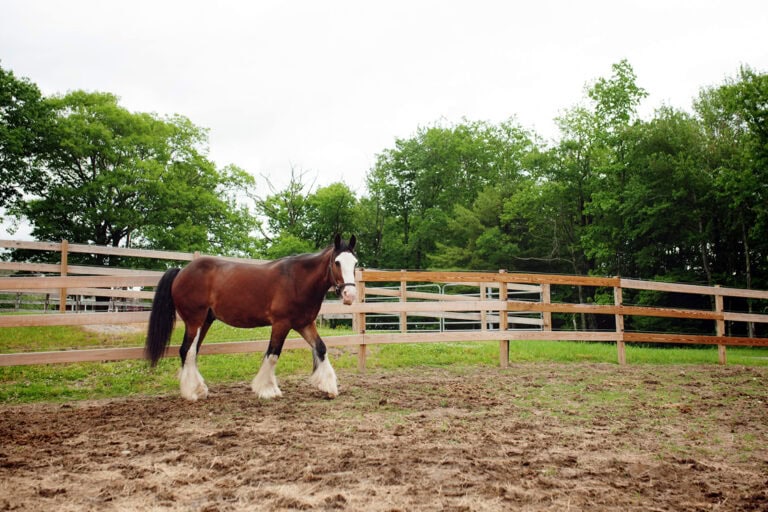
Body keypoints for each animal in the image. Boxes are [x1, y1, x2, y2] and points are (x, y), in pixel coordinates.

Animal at [145, 234, 358, 401]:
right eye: (337, 262)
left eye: (355, 263)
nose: (350, 295)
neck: (297, 280)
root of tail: (181, 271)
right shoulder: (281, 324)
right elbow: (272, 355)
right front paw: (267, 390)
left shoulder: (304, 324)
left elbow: (321, 348)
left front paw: (328, 387)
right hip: (194, 321)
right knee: (187, 351)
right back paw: (192, 392)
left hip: (205, 321)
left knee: (192, 351)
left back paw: (199, 389)